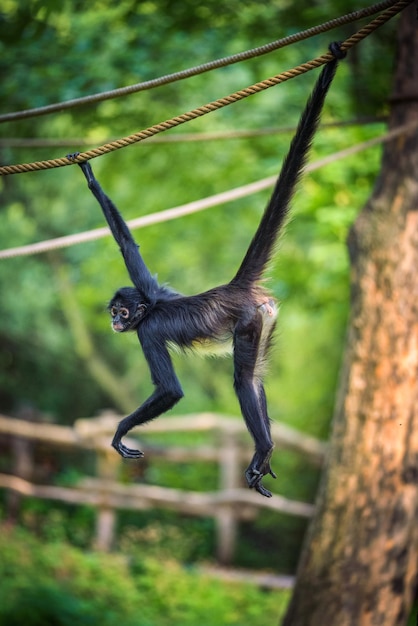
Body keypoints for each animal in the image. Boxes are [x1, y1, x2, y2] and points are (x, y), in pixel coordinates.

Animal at [72, 42, 346, 498]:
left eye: (122, 313)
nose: (114, 321)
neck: (151, 307)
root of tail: (235, 287)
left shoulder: (147, 330)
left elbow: (171, 390)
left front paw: (121, 431)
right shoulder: (153, 289)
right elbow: (128, 245)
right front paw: (91, 179)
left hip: (248, 321)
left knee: (242, 380)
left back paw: (263, 447)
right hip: (264, 319)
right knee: (255, 378)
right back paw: (267, 452)